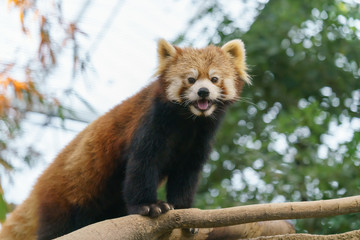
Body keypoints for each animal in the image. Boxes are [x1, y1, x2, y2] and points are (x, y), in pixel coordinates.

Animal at [0, 38, 249, 239]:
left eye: (214, 79)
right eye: (191, 79)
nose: (203, 92)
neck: (188, 122)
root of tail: (39, 186)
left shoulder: (198, 140)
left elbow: (186, 174)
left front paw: (184, 211)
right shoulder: (151, 124)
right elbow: (142, 164)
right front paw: (150, 206)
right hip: (63, 200)